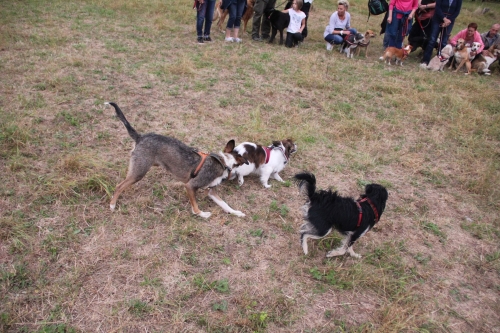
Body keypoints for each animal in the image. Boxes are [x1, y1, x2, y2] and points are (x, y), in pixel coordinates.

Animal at [105, 102, 248, 219]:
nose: (238, 178)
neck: (223, 163)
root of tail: (140, 137)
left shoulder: (211, 192)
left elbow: (225, 205)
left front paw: (236, 213)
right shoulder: (190, 186)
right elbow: (195, 206)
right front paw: (201, 214)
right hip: (139, 172)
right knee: (119, 186)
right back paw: (112, 205)